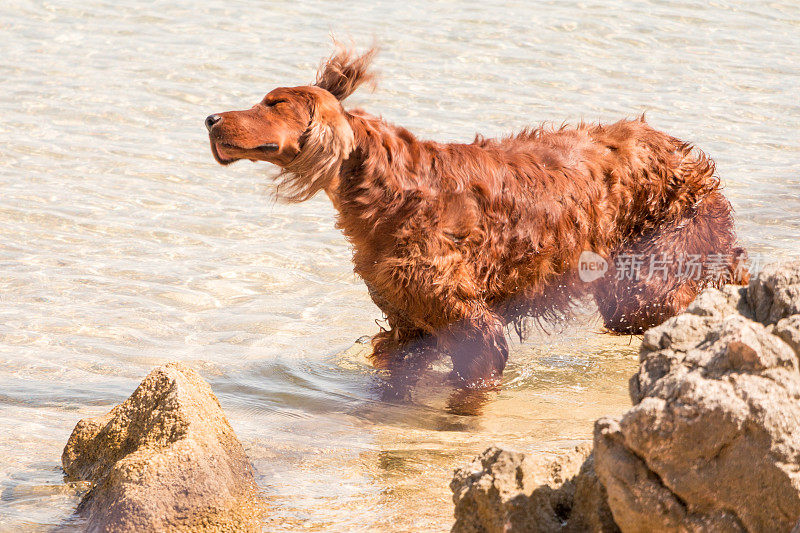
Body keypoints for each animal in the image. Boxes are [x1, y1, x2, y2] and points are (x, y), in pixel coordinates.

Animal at [206, 46, 752, 386]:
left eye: (274, 103)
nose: (210, 118)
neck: (391, 190)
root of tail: (682, 151)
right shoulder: (407, 323)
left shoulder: (471, 321)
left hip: (649, 277)